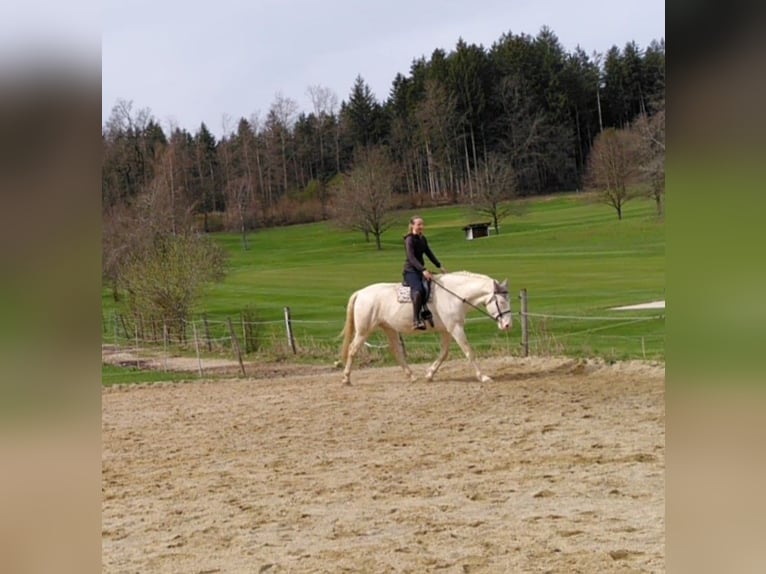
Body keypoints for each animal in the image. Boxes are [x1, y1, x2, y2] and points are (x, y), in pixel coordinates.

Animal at [340, 272, 510, 388]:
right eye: (501, 302)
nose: (508, 325)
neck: (453, 295)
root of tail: (361, 292)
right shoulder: (455, 327)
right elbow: (469, 351)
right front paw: (483, 377)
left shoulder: (447, 330)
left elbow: (444, 354)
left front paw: (429, 374)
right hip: (364, 330)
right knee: (353, 349)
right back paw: (346, 379)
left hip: (389, 328)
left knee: (396, 351)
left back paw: (412, 376)